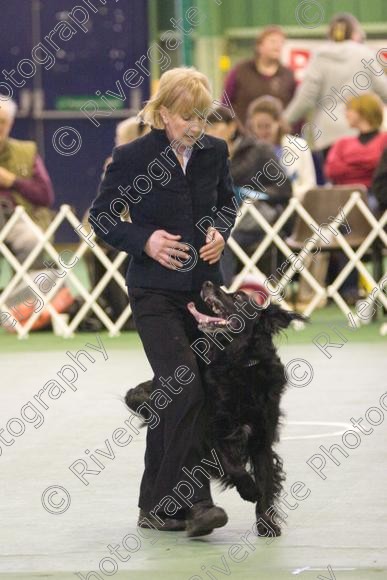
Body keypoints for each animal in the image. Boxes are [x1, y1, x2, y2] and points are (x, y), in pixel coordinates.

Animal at [126, 280, 304, 536]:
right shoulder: (209, 430)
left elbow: (266, 479)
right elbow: (232, 464)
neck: (241, 364)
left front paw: (267, 524)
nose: (207, 283)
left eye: (239, 298)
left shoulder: (262, 436)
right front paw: (249, 489)